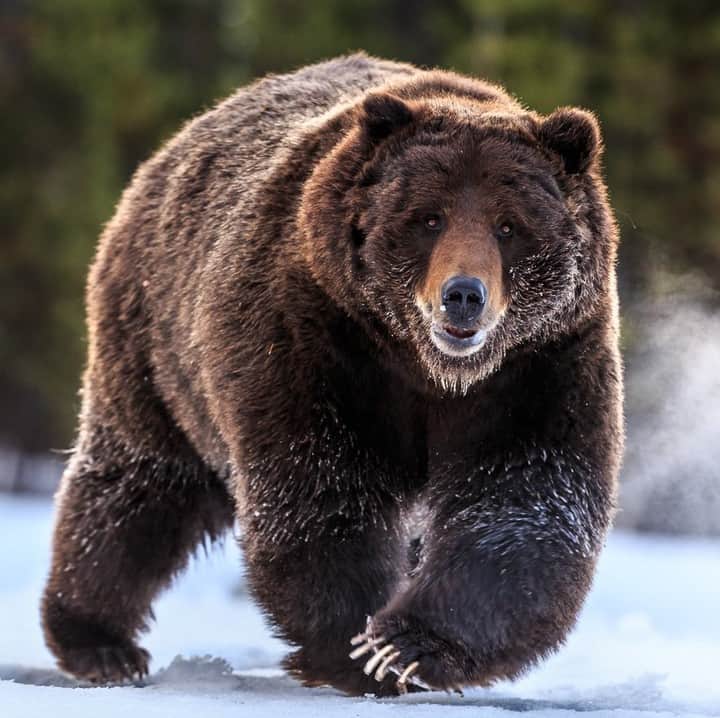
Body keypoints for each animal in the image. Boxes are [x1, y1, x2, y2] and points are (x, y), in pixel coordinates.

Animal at [41, 53, 623, 696]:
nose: (464, 296)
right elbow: (321, 486)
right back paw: (100, 642)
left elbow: (523, 500)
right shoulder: (314, 336)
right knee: (138, 487)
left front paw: (405, 646)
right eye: (429, 218)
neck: (430, 370)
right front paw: (356, 645)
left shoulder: (539, 364)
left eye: (509, 225)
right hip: (155, 347)